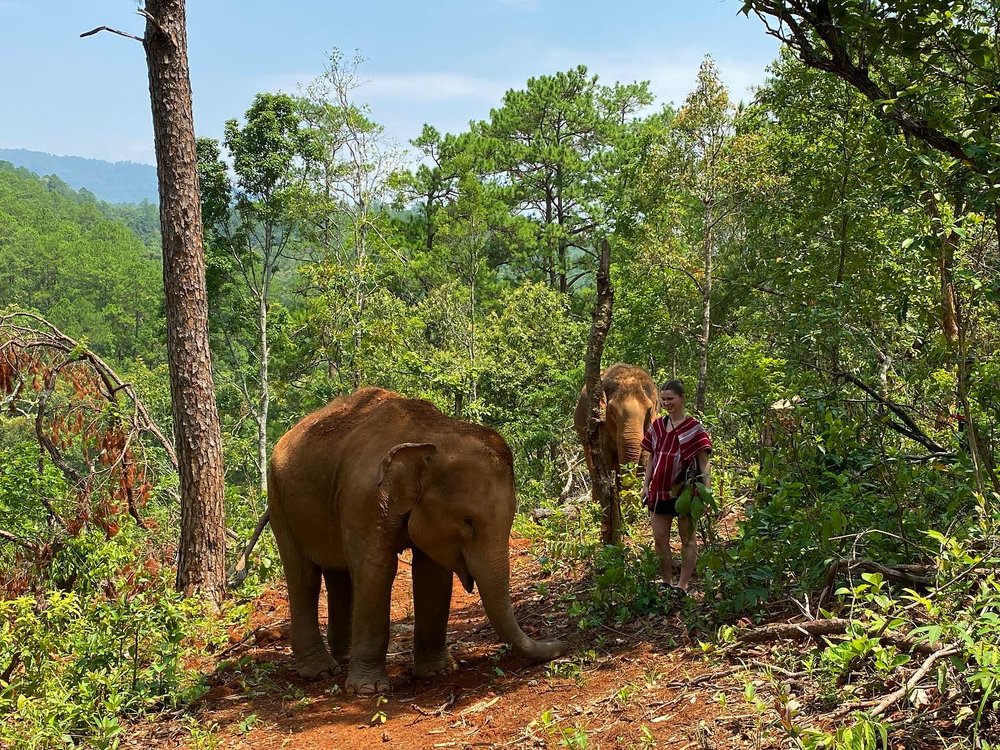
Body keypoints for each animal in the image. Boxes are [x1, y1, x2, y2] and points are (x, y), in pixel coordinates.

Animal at [267, 387, 566, 695]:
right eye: (468, 521)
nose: (559, 644)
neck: (430, 433)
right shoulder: (363, 499)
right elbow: (376, 572)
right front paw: (369, 690)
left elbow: (432, 574)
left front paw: (437, 672)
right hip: (277, 499)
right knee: (303, 576)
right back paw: (321, 671)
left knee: (337, 574)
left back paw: (343, 659)